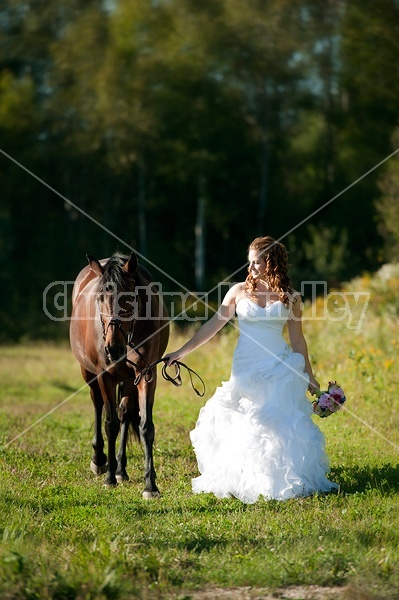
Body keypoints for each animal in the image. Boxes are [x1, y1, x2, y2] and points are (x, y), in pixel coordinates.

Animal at [69, 251, 170, 500]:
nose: (113, 349)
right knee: (98, 405)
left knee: (124, 412)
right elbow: (110, 423)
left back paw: (121, 470)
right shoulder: (104, 376)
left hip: (127, 379)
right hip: (88, 372)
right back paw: (100, 460)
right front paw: (108, 478)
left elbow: (145, 426)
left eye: (129, 299)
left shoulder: (146, 374)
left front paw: (150, 485)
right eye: (99, 299)